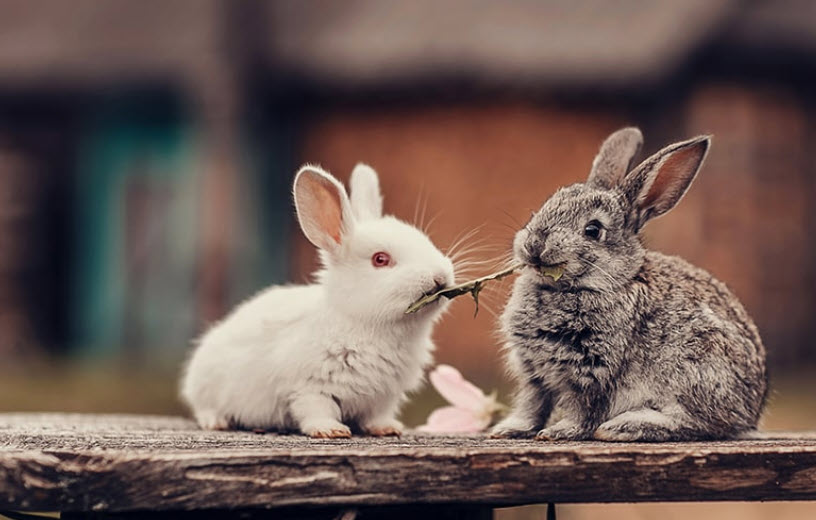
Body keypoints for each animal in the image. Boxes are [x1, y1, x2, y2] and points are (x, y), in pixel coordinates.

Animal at [180, 163, 455, 438]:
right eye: (380, 259)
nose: (440, 276)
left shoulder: (384, 396)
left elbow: (377, 416)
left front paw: (388, 428)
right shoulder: (309, 387)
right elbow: (317, 409)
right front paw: (331, 430)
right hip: (207, 386)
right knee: (205, 408)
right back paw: (216, 422)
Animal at [491, 128, 767, 442]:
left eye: (593, 230)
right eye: (541, 209)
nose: (534, 244)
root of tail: (750, 413)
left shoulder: (591, 372)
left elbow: (581, 409)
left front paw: (560, 432)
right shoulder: (534, 374)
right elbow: (532, 405)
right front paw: (509, 429)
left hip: (695, 369)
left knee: (699, 424)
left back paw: (624, 426)